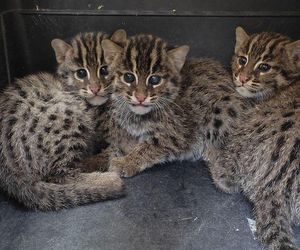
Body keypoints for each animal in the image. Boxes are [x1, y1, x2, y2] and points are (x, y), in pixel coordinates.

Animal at [0, 29, 126, 211]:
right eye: (81, 73)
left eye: (104, 70)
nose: (95, 88)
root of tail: (9, 170)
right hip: (66, 115)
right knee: (60, 175)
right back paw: (108, 178)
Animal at [209, 27, 300, 250]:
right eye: (242, 59)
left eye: (264, 67)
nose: (241, 78)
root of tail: (275, 187)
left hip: (248, 131)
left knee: (226, 180)